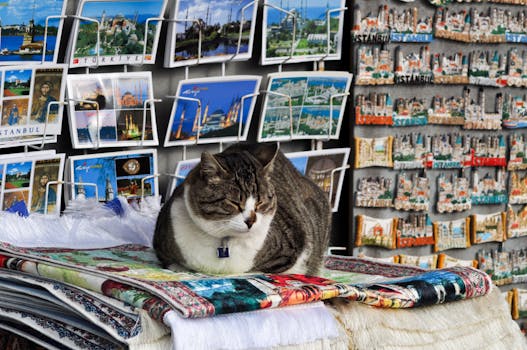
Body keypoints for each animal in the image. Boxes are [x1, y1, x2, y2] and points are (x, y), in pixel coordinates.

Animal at [153, 144, 332, 274]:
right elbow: (173, 264)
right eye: (234, 203)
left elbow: (256, 271)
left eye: (260, 202)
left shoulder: (290, 248)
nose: (251, 221)